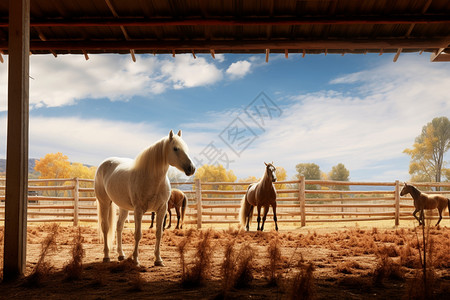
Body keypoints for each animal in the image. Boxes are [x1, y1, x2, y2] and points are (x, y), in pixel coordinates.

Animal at [94, 130, 194, 266]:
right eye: (175, 148)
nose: (191, 168)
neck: (152, 179)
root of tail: (105, 164)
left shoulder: (162, 209)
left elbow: (159, 233)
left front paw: (158, 260)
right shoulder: (138, 210)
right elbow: (138, 234)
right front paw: (136, 260)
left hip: (124, 207)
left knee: (119, 227)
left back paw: (121, 254)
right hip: (104, 203)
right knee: (106, 227)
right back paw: (106, 256)